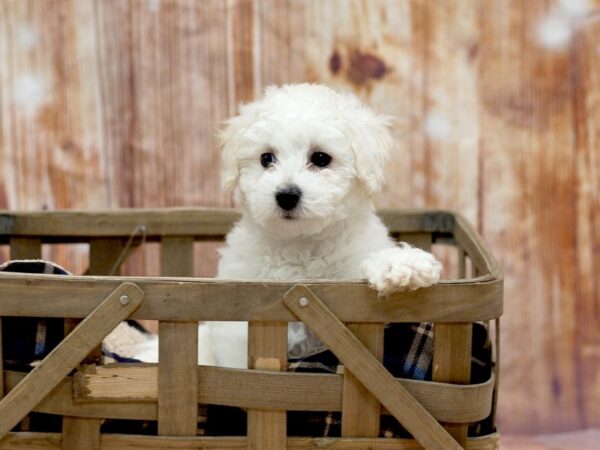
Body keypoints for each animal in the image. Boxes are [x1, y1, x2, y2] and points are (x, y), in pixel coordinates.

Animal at [196, 83, 440, 370]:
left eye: (321, 158)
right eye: (266, 158)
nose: (286, 195)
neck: (303, 243)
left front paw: (402, 265)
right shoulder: (236, 322)